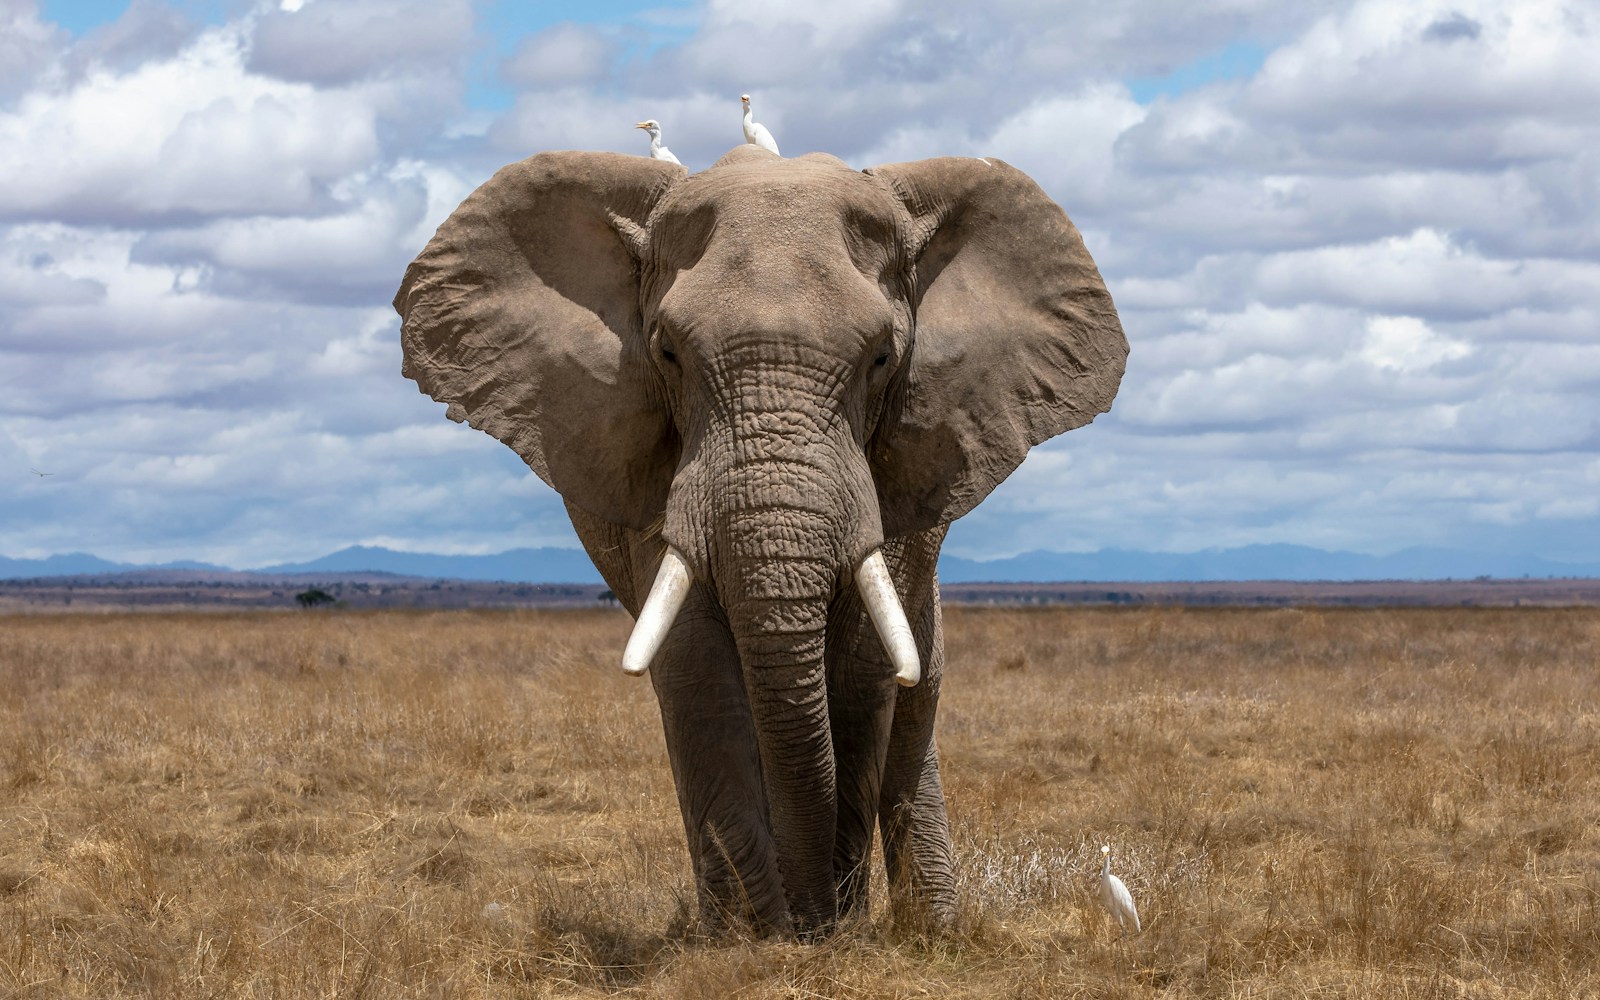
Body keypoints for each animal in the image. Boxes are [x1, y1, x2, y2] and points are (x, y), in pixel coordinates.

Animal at [393, 144, 1128, 936]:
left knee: (916, 693)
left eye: (882, 358)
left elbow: (864, 669)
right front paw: (755, 939)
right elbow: (696, 667)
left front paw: (829, 930)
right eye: (668, 354)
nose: (813, 921)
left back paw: (932, 930)